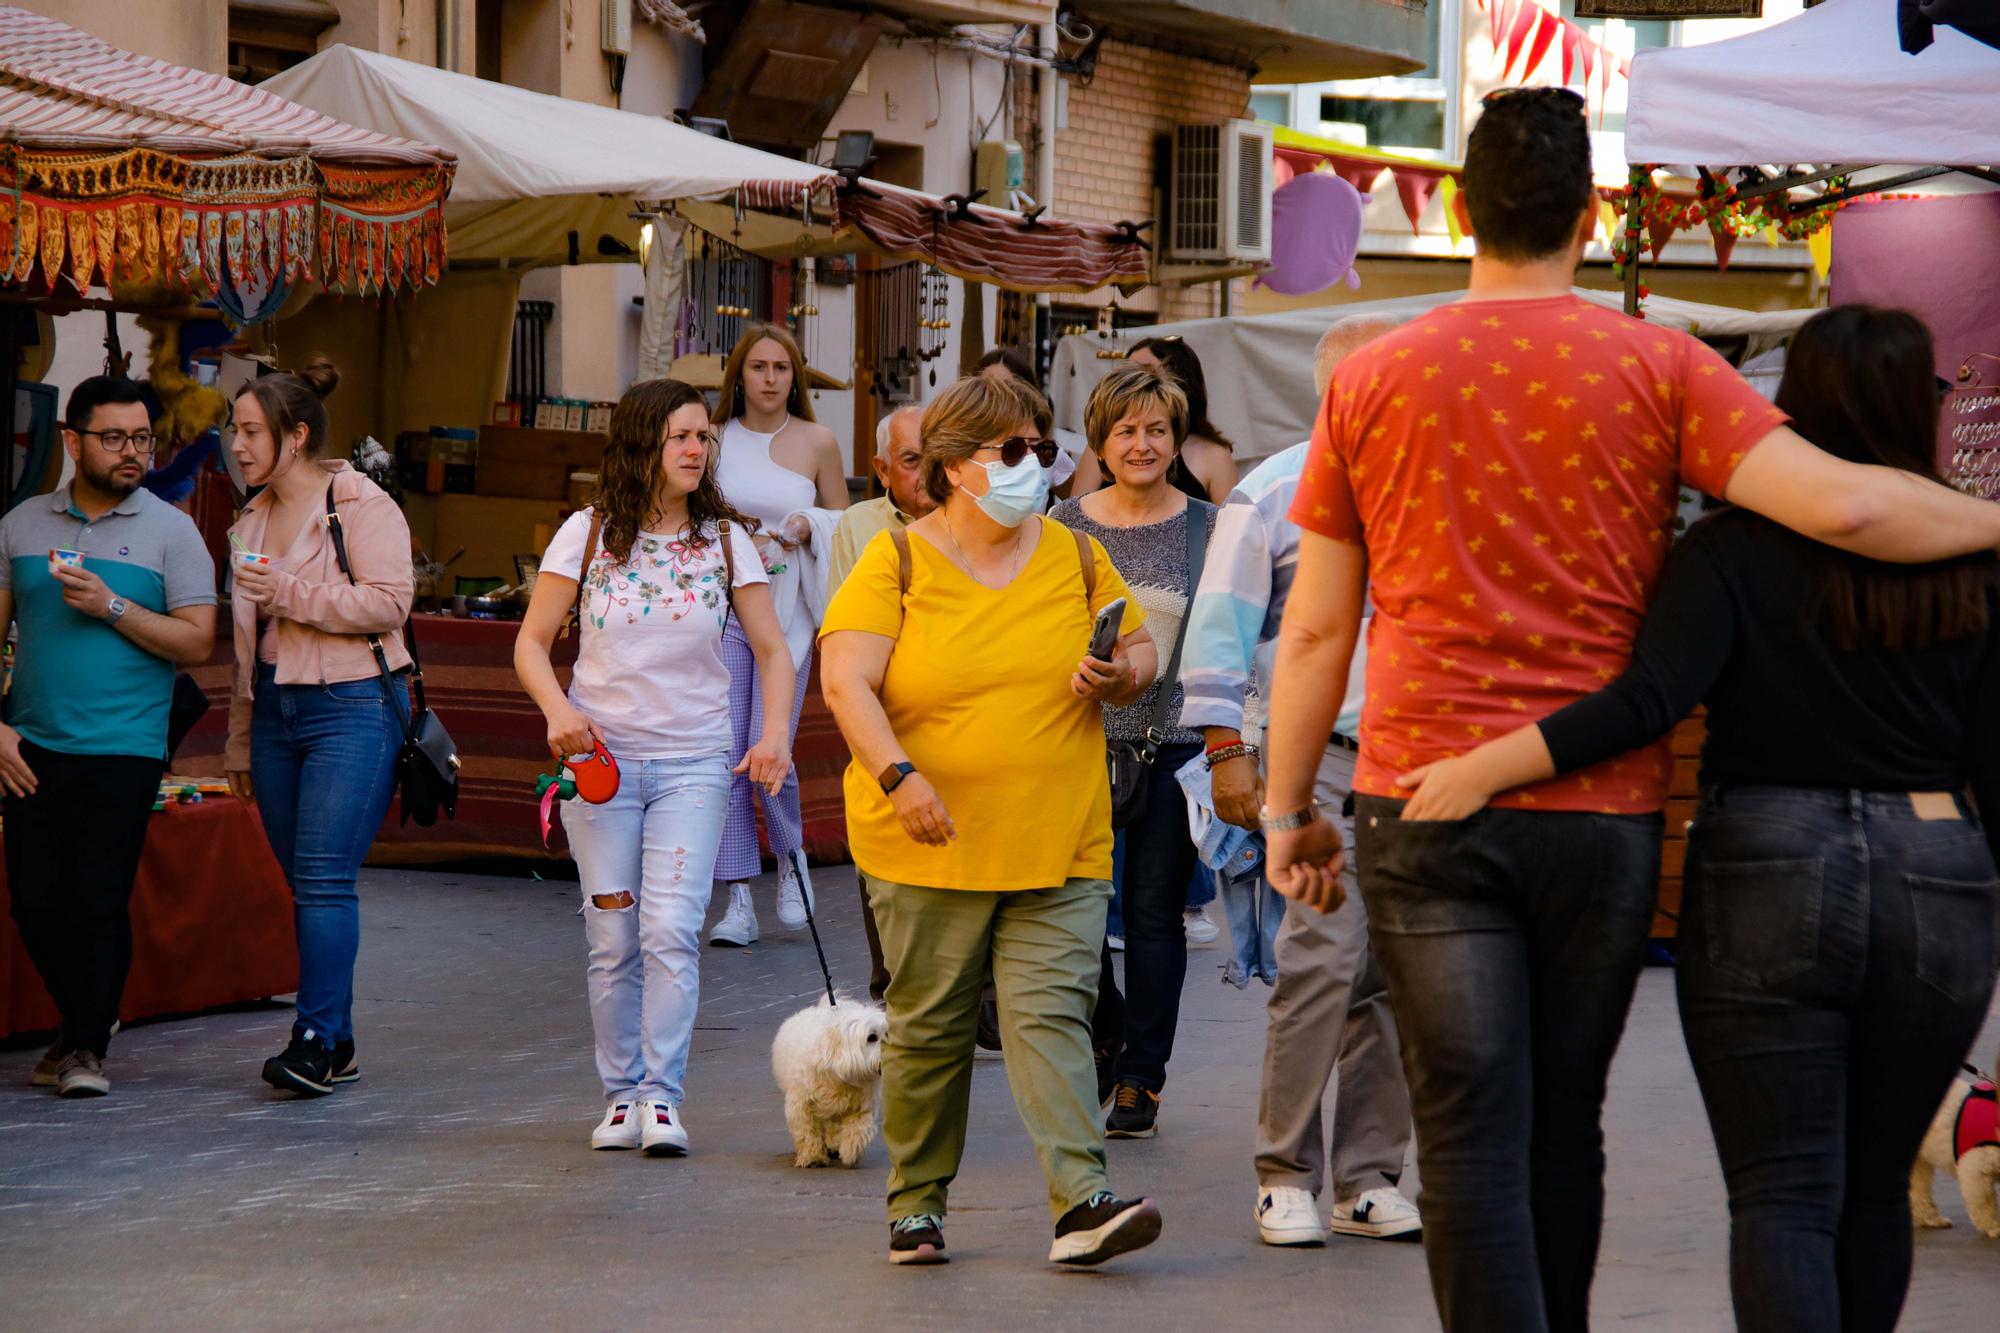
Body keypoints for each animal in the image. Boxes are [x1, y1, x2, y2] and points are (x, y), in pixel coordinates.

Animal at [768, 984, 888, 1160]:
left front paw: (850, 1149)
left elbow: (859, 1127)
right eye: (871, 1037)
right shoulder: (801, 1104)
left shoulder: (862, 1104)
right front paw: (812, 1157)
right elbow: (806, 1130)